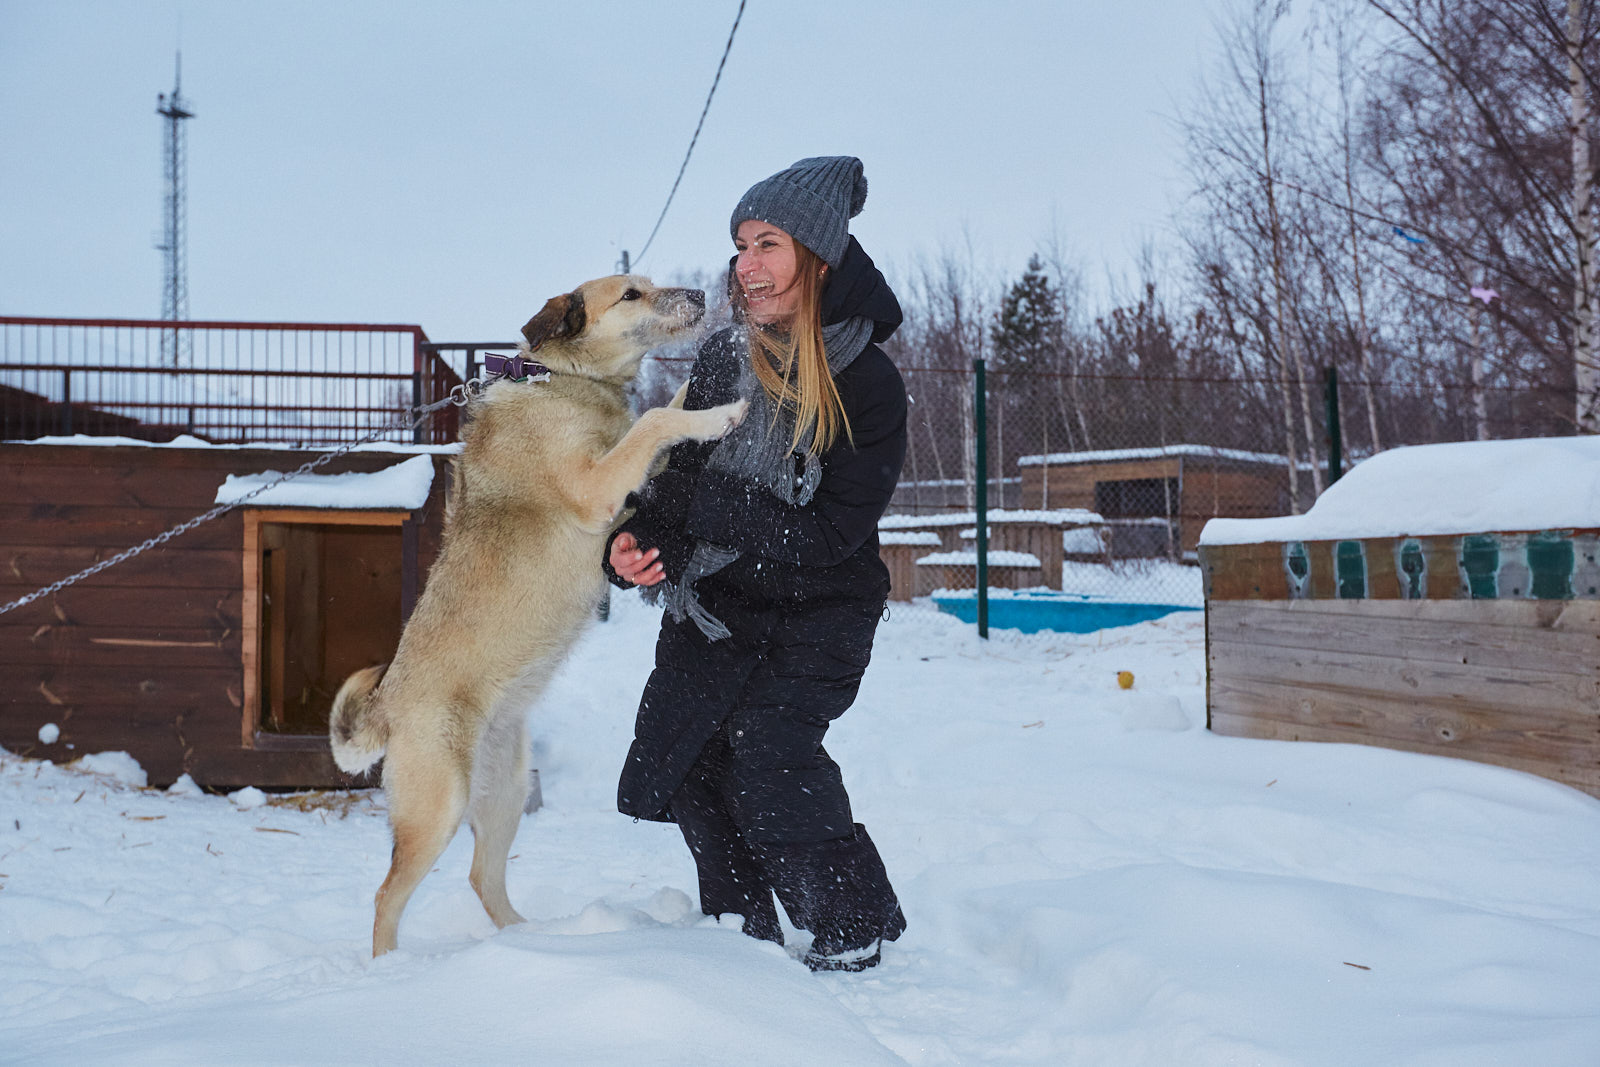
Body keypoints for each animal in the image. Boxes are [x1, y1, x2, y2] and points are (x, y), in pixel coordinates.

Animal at [329, 275, 748, 959]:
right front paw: (724, 415)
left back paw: (535, 940)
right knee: (387, 895)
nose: (696, 293)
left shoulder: (631, 474)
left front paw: (703, 398)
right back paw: (390, 968)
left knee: (483, 876)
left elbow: (664, 413)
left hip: (506, 792)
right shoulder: (597, 485)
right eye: (632, 294)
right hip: (439, 807)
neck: (565, 380)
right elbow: (656, 417)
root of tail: (388, 704)